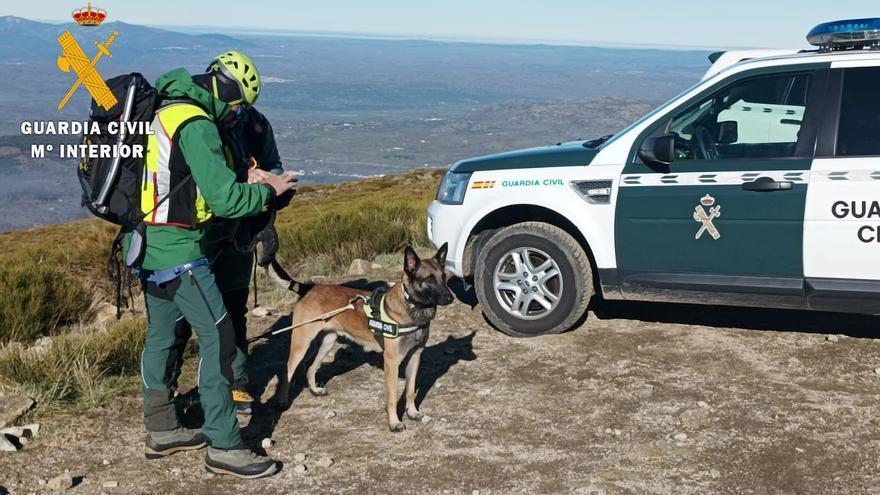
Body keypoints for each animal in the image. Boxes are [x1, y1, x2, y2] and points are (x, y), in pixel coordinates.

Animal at [266, 244, 454, 430]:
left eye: (444, 277)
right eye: (429, 279)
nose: (450, 297)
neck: (413, 307)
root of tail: (309, 288)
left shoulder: (415, 356)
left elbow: (410, 390)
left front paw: (412, 412)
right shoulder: (391, 361)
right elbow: (393, 397)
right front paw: (394, 422)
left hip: (327, 342)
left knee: (311, 367)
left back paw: (314, 390)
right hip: (302, 344)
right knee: (288, 370)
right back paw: (282, 401)